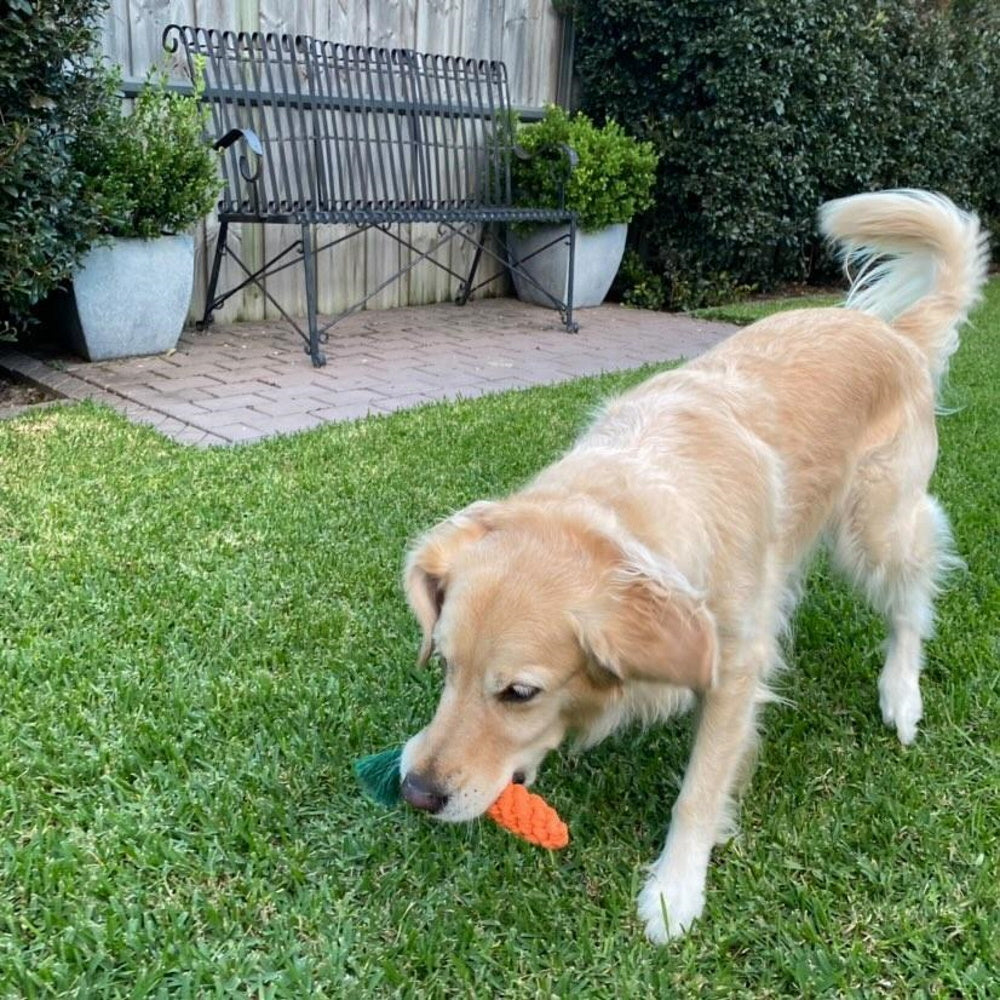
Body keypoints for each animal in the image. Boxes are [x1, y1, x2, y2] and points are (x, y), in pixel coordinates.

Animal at [396, 189, 984, 944]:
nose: (416, 793)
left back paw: (901, 695)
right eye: (443, 664)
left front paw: (675, 890)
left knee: (912, 600)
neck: (625, 505)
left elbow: (699, 789)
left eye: (520, 693)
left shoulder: (733, 662)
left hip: (877, 526)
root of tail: (894, 334)